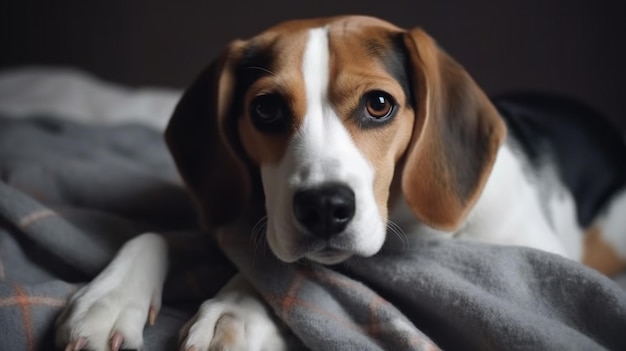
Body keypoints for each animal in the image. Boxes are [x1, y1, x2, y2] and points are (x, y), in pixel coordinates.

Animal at [56, 15, 620, 351]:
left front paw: (234, 310)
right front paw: (109, 301)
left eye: (379, 104)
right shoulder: (238, 221)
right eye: (265, 109)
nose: (324, 207)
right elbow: (155, 233)